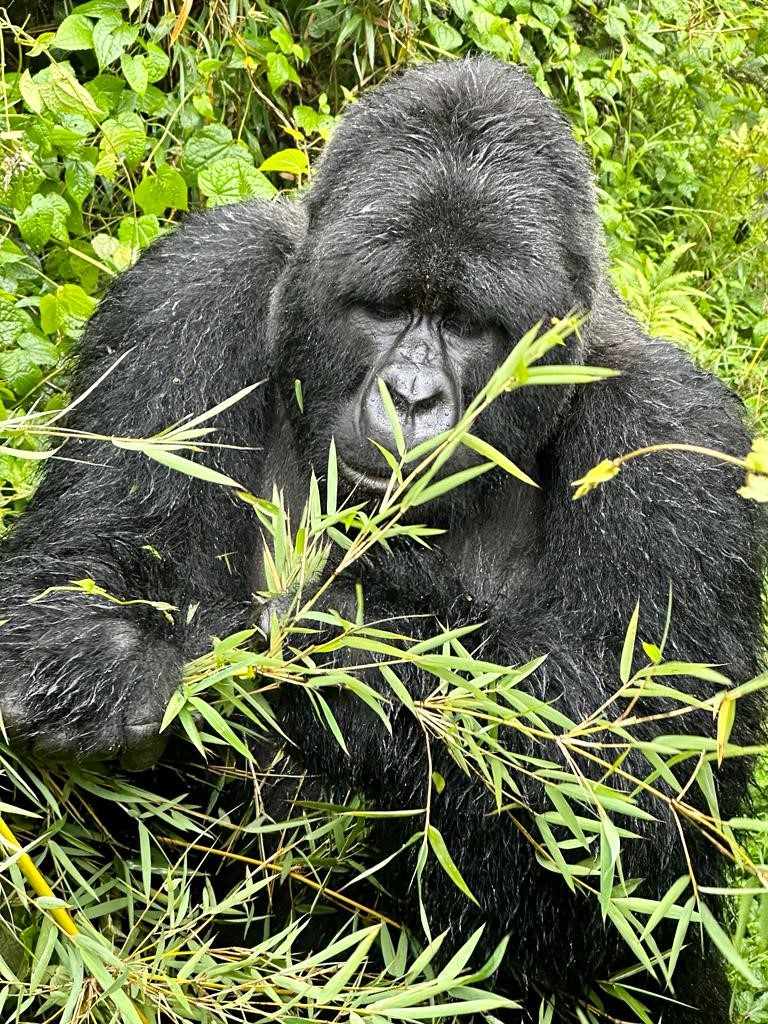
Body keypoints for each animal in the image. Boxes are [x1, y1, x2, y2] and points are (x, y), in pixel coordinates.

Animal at [1, 58, 768, 1024]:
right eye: (383, 307)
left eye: (470, 325)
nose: (410, 395)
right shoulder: (187, 289)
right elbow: (77, 562)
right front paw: (94, 652)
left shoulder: (678, 441)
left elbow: (641, 813)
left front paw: (317, 644)